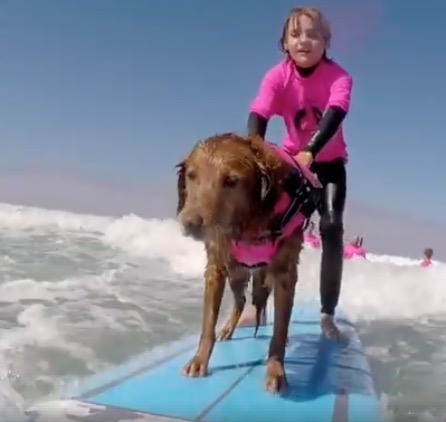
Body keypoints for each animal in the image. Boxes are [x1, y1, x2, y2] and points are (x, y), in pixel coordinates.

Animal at [175, 132, 320, 392]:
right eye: (192, 176)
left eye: (231, 181)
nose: (189, 223)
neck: (249, 222)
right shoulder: (216, 266)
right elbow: (207, 324)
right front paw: (199, 360)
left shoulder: (285, 274)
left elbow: (280, 330)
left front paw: (276, 369)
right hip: (236, 272)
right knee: (241, 300)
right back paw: (227, 328)